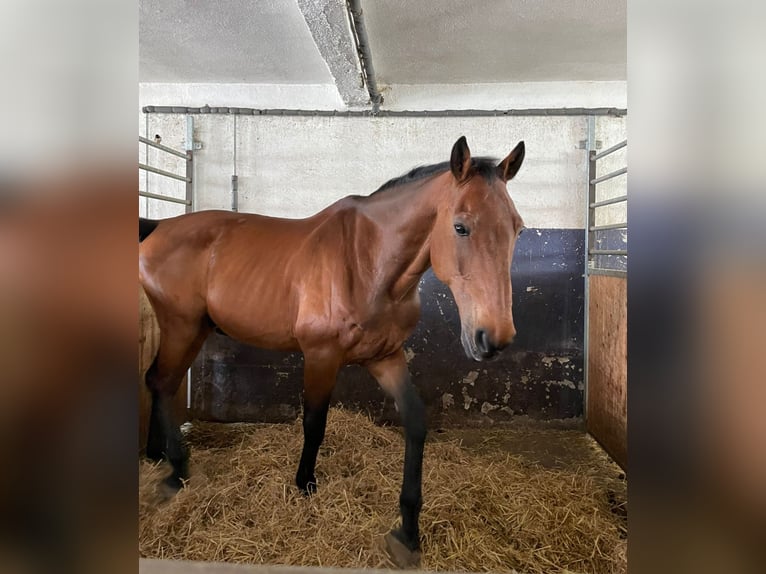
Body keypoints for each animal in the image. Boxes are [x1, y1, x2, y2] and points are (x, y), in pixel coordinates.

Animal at [140, 136, 528, 568]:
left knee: (160, 382)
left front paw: (408, 532)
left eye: (517, 228)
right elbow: (315, 423)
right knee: (162, 380)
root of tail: (159, 227)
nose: (492, 338)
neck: (367, 263)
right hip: (182, 327)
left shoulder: (386, 357)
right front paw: (305, 483)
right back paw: (177, 471)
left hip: (192, 331)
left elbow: (415, 421)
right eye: (460, 226)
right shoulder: (321, 356)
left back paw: (157, 456)